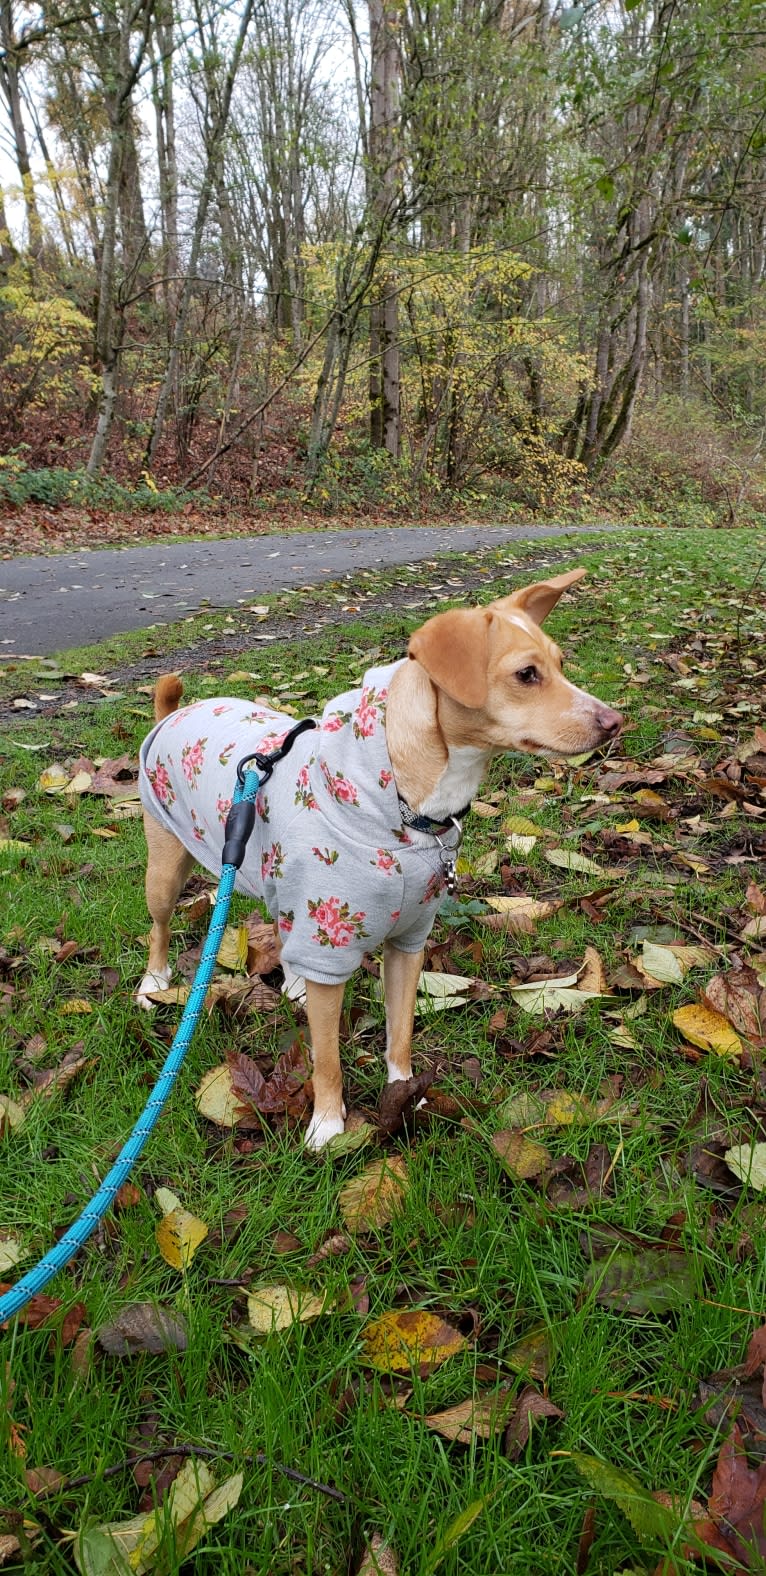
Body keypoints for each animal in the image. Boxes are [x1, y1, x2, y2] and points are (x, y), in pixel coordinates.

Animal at [137, 567, 617, 1147]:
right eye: (527, 674)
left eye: (561, 665)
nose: (614, 721)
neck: (409, 812)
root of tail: (174, 711)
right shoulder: (332, 954)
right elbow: (327, 1059)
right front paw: (327, 1123)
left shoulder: (408, 944)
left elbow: (400, 1034)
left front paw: (403, 1094)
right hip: (166, 868)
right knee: (160, 926)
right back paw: (155, 982)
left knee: (280, 921)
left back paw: (292, 980)